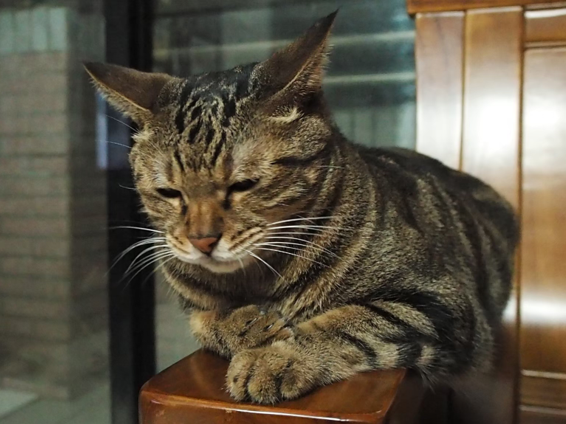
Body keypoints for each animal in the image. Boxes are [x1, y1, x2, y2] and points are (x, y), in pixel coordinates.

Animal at [84, 10, 520, 404]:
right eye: (170, 192)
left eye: (244, 185)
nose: (202, 241)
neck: (255, 283)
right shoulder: (192, 301)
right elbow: (203, 320)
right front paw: (245, 324)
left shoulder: (442, 303)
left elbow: (353, 321)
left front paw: (277, 359)